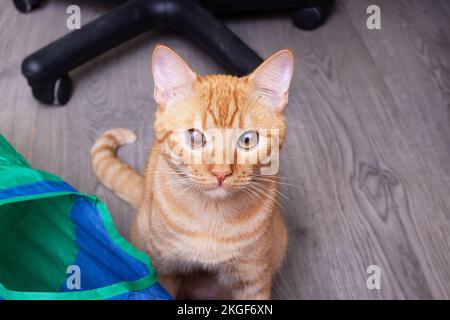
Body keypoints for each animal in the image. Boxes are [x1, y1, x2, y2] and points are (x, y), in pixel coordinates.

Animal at [91, 45, 296, 300]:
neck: (210, 217)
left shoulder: (253, 278)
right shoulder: (165, 268)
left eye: (248, 140)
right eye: (195, 137)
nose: (221, 173)